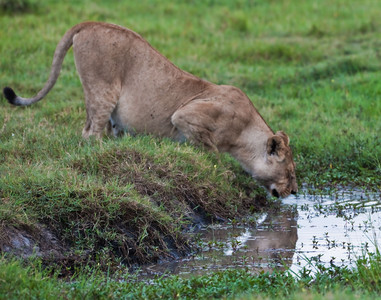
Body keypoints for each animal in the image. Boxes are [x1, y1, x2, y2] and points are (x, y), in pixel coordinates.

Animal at [2, 22, 296, 198]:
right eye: (290, 172)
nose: (294, 192)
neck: (244, 133)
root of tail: (90, 22)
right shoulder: (186, 116)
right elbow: (211, 153)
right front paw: (220, 172)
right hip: (103, 90)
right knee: (90, 134)